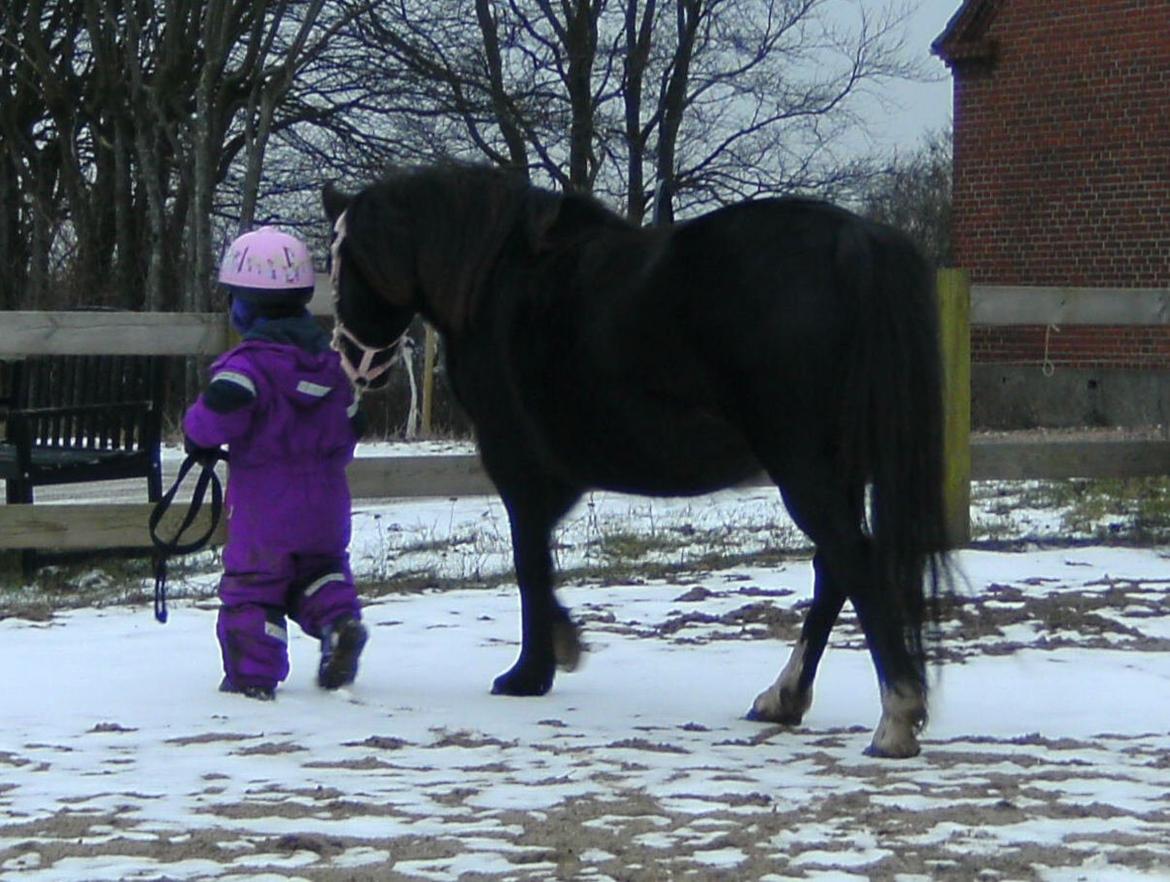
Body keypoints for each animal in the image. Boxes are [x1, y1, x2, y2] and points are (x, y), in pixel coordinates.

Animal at [322, 164, 950, 758]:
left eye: (343, 264)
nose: (350, 360)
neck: (500, 279)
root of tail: (856, 244)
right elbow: (540, 559)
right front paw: (560, 646)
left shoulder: (518, 465)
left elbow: (530, 562)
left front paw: (532, 671)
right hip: (836, 470)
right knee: (833, 570)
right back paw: (784, 698)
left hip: (803, 466)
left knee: (853, 561)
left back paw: (894, 718)